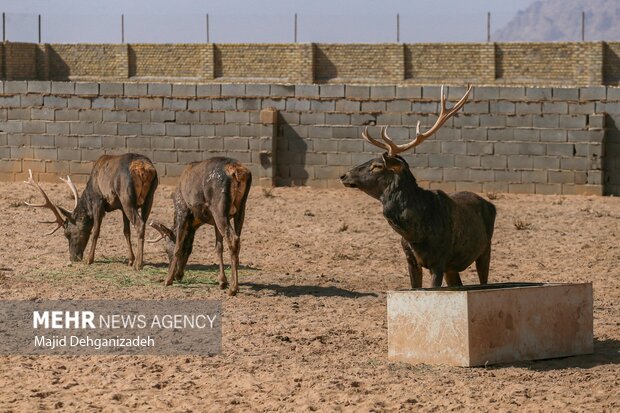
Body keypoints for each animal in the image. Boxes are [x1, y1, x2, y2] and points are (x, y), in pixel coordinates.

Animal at [24, 153, 159, 268]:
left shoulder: (98, 201)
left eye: (67, 233)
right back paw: (138, 261)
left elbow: (95, 231)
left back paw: (138, 264)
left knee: (140, 224)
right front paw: (130, 259)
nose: (73, 258)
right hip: (149, 197)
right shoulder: (121, 207)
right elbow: (126, 231)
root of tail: (144, 169)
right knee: (143, 223)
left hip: (127, 197)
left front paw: (89, 259)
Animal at [336, 85, 496, 288]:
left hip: (485, 248)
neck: (416, 233)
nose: (344, 175)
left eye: (377, 166)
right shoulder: (410, 259)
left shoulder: (439, 260)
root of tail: (491, 205)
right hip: (452, 267)